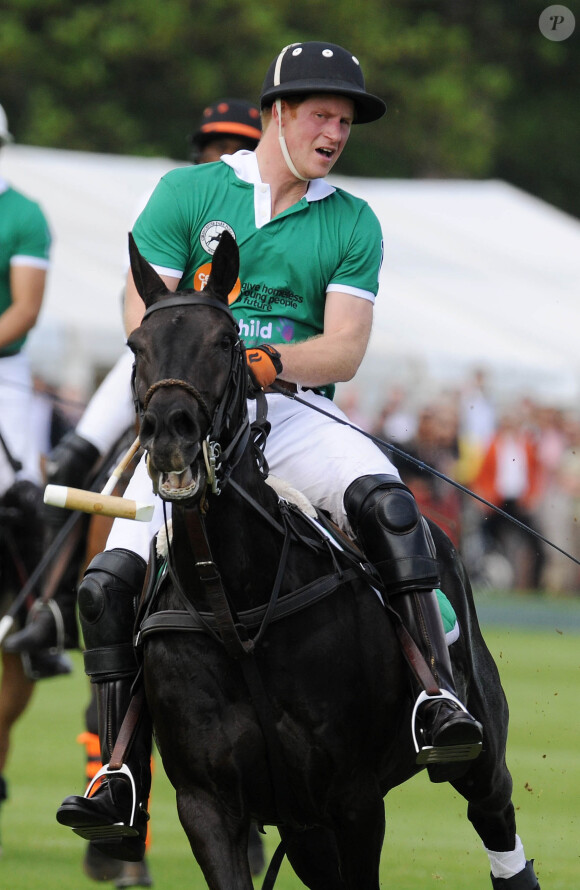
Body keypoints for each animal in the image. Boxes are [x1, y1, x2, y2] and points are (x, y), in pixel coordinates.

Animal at [125, 231, 540, 888]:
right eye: (135, 346)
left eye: (225, 342)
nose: (169, 431)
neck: (236, 607)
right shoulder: (207, 804)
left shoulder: (354, 798)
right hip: (302, 827)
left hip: (476, 750)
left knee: (494, 812)